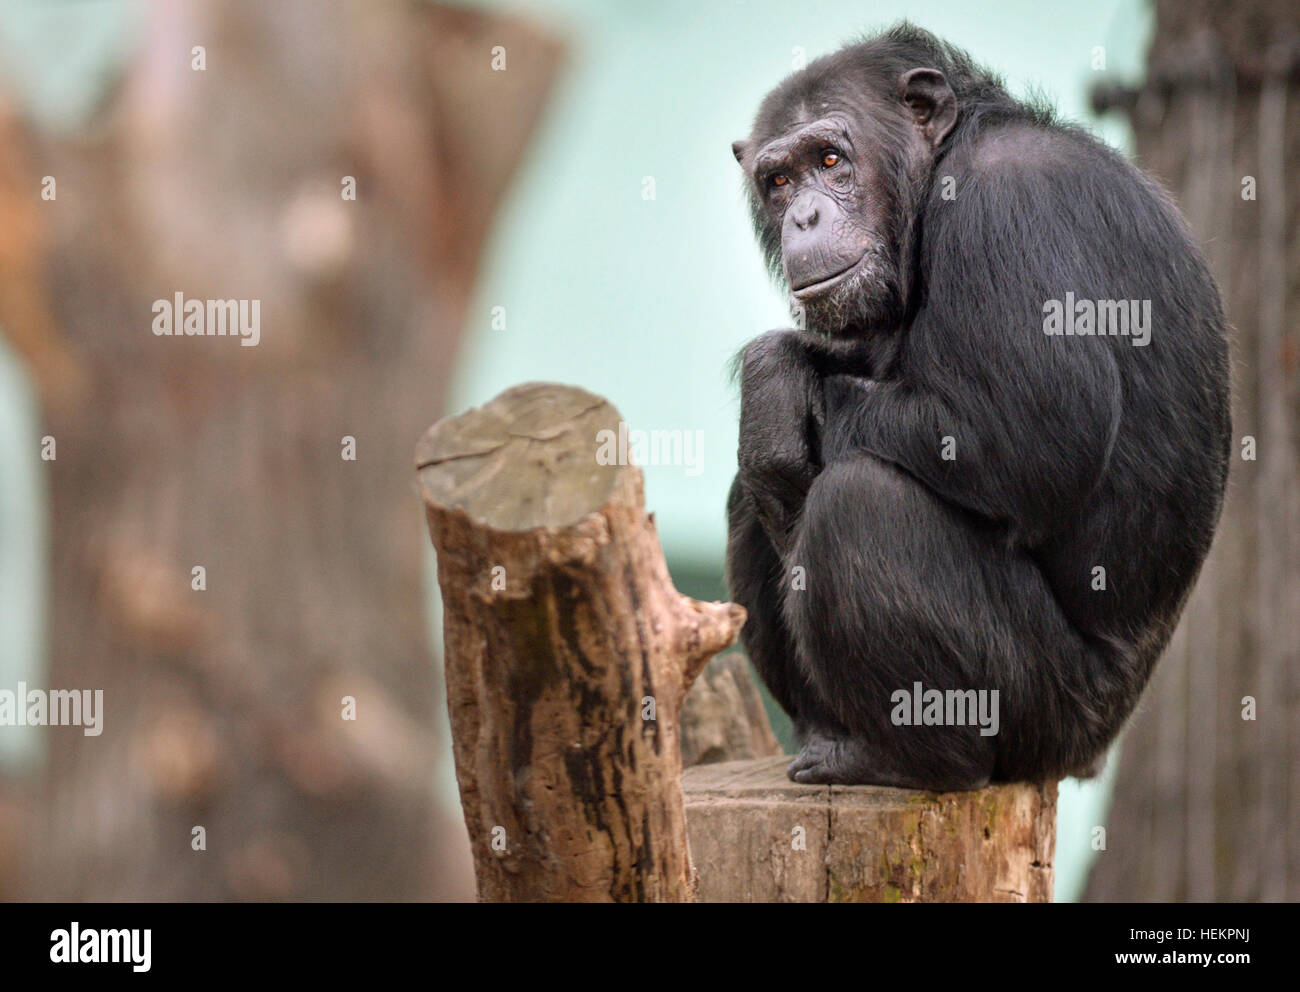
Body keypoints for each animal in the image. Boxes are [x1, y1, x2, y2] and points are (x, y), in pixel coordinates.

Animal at [733, 23, 1227, 790]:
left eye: (831, 159)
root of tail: (1091, 752)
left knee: (860, 504)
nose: (805, 214)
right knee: (753, 494)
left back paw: (901, 757)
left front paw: (774, 384)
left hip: (1040, 711)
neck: (937, 170)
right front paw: (775, 366)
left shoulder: (1005, 205)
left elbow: (1028, 435)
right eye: (779, 181)